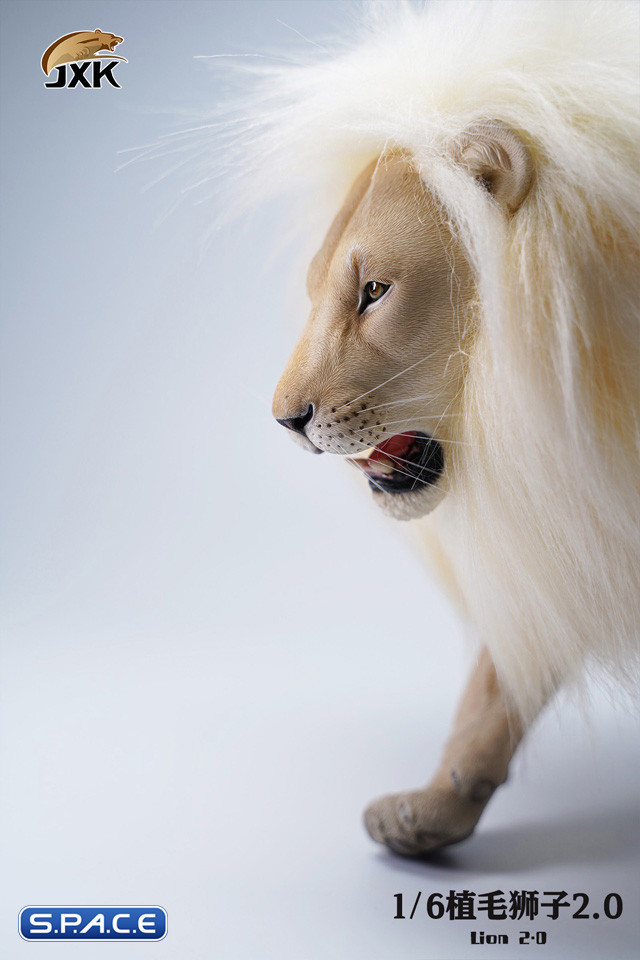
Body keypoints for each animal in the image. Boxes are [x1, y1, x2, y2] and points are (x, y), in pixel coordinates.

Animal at [208, 0, 640, 855]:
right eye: (316, 289)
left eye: (375, 290)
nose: (285, 421)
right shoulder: (570, 502)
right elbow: (500, 676)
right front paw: (432, 810)